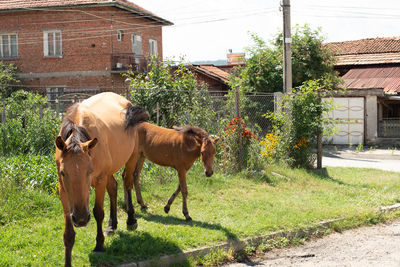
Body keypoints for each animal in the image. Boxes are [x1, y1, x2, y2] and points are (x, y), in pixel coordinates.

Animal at [54, 92, 148, 267]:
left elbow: (98, 212)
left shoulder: (99, 181)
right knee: (114, 187)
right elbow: (68, 229)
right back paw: (112, 225)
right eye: (63, 173)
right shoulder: (62, 188)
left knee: (127, 183)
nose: (81, 219)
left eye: (89, 171)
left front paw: (99, 244)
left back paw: (131, 220)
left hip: (131, 158)